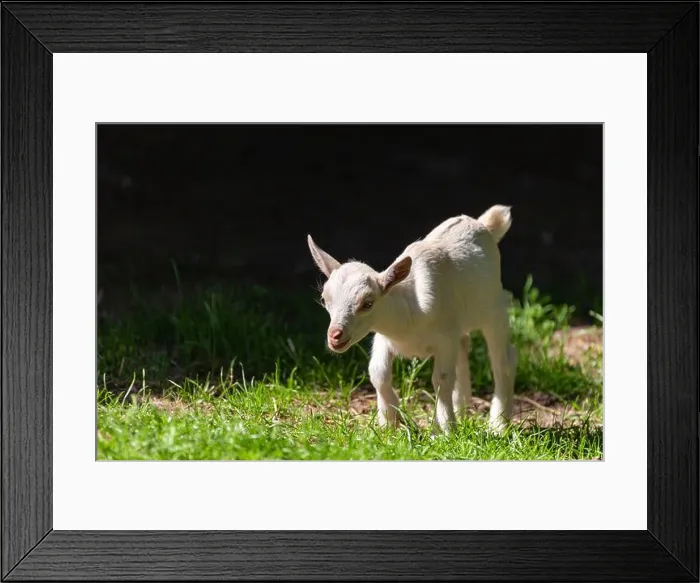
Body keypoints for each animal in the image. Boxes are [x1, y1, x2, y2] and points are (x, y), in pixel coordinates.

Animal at [307, 205, 517, 434]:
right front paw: (390, 420)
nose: (335, 335)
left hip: (494, 310)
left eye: (368, 303)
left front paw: (446, 429)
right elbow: (378, 373)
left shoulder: (445, 340)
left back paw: (498, 424)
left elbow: (442, 379)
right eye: (324, 299)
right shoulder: (384, 337)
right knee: (464, 345)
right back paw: (461, 409)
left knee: (502, 361)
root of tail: (482, 223)